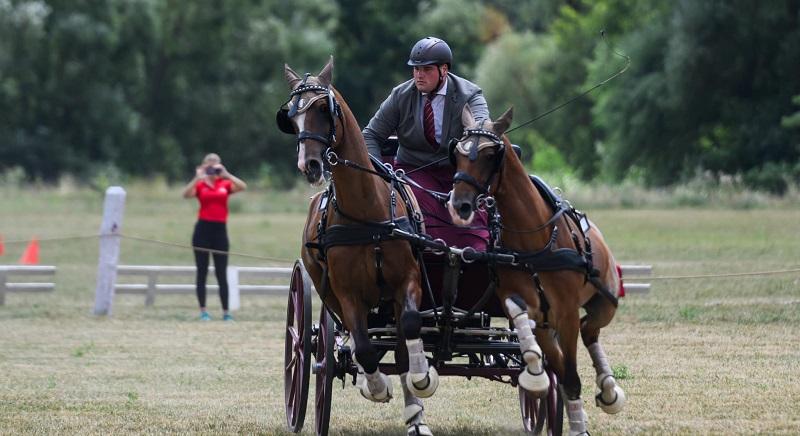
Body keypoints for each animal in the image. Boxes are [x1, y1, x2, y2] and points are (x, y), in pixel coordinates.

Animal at [276, 58, 438, 436]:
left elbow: (410, 330)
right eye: (291, 116)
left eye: (323, 108)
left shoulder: (408, 281)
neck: (369, 215)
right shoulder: (348, 292)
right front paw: (375, 386)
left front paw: (423, 381)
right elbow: (363, 347)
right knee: (343, 341)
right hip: (327, 290)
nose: (310, 166)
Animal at [446, 106, 628, 436]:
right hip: (547, 323)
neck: (534, 241)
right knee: (565, 356)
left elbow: (571, 377)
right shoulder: (523, 303)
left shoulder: (566, 314)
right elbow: (524, 329)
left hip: (604, 303)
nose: (460, 205)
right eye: (457, 153)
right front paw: (535, 376)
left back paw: (609, 390)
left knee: (589, 331)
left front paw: (579, 426)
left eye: (490, 154)